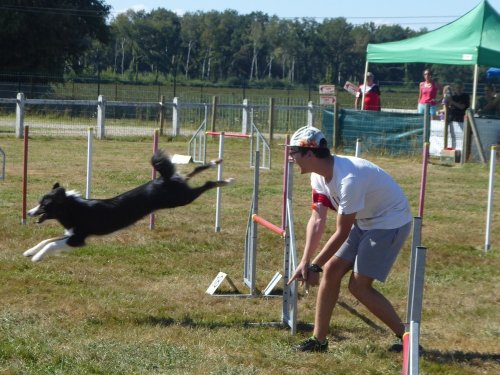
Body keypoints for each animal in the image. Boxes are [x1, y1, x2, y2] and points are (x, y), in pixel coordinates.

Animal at [23, 149, 234, 262]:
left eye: (44, 205)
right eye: (39, 202)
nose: (28, 212)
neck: (73, 208)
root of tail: (163, 179)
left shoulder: (78, 239)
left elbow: (52, 244)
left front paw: (37, 257)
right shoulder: (71, 234)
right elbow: (48, 240)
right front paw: (30, 251)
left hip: (180, 199)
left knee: (205, 184)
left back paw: (226, 181)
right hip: (179, 191)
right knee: (191, 172)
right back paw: (215, 162)